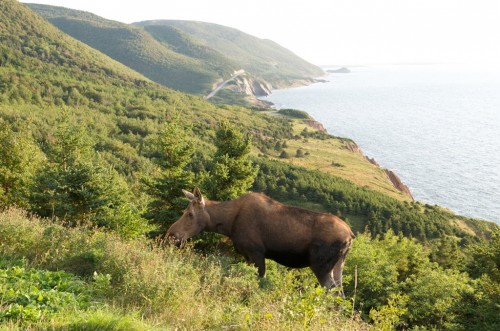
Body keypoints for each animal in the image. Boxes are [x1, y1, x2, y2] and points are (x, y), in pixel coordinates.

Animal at [168, 188, 356, 294]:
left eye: (190, 214)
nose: (172, 234)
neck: (228, 224)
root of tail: (351, 236)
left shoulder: (256, 252)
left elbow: (260, 281)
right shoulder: (247, 255)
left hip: (320, 265)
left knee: (332, 292)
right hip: (338, 265)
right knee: (341, 293)